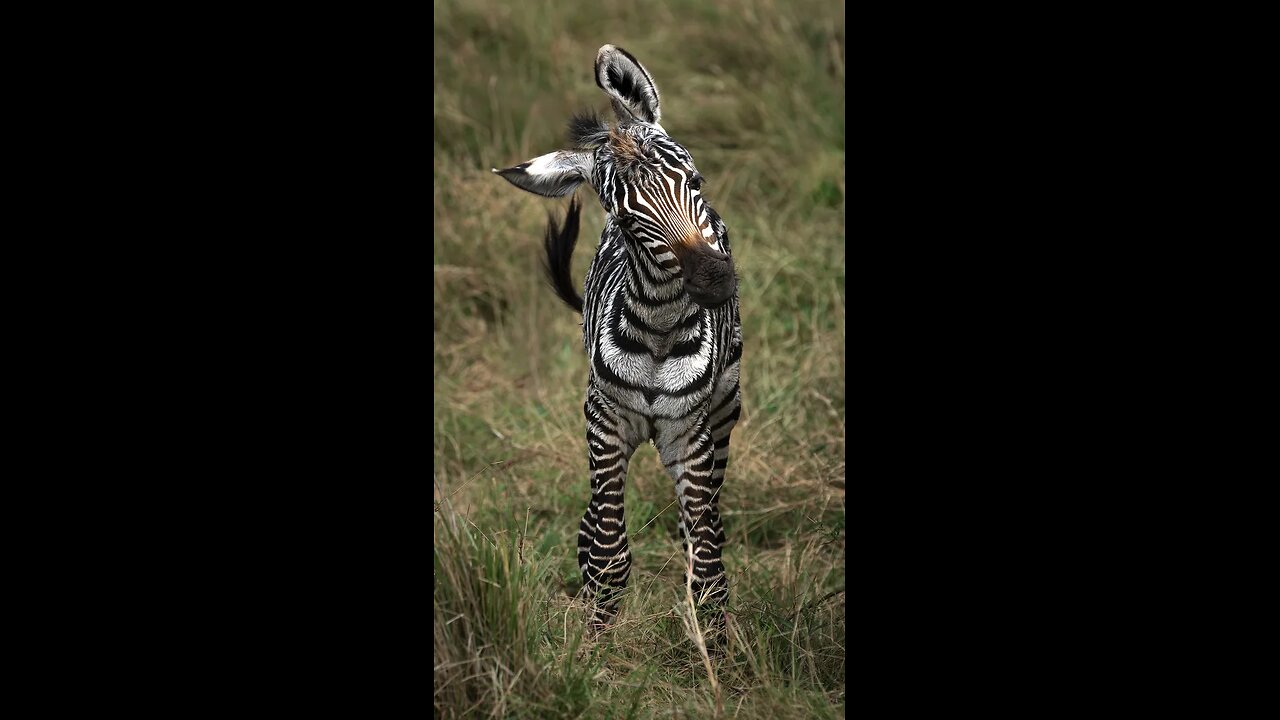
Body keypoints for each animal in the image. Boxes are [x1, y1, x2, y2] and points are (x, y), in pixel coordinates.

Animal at [494, 44, 747, 627]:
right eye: (628, 220)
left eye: (696, 183)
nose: (714, 280)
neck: (659, 331)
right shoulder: (603, 421)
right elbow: (608, 553)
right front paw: (594, 641)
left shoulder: (693, 435)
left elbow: (707, 567)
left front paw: (716, 647)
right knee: (594, 527)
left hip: (727, 408)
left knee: (708, 525)